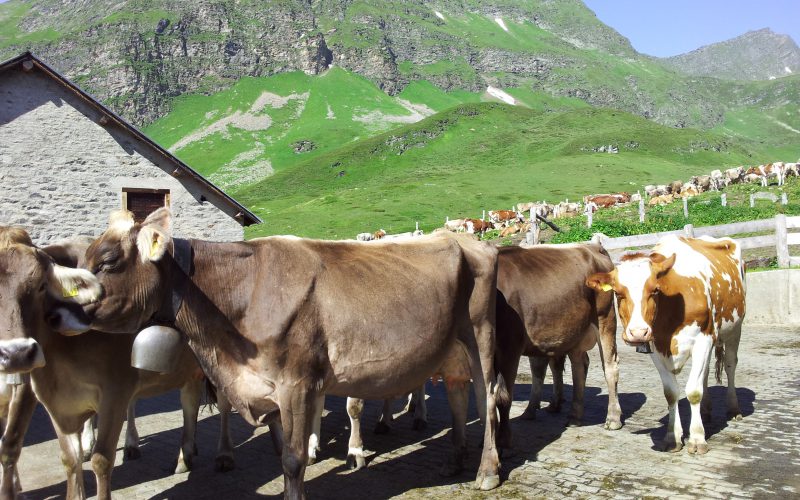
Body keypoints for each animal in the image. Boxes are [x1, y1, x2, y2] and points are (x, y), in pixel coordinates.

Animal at [0, 228, 234, 500]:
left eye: (40, 286)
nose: (16, 354)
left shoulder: (115, 391)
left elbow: (101, 460)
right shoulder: (53, 401)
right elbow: (70, 459)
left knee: (225, 405)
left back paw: (224, 455)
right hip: (188, 369)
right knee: (189, 403)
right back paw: (184, 455)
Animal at [490, 242, 620, 450]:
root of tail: (592, 245)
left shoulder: (510, 347)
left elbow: (502, 397)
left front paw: (503, 442)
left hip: (605, 317)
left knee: (610, 367)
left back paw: (613, 418)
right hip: (574, 329)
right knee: (578, 366)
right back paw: (574, 416)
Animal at [584, 236, 748, 456]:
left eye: (654, 290)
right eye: (617, 293)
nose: (638, 332)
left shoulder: (703, 339)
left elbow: (693, 391)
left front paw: (697, 439)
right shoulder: (656, 347)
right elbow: (671, 393)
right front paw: (672, 438)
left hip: (734, 328)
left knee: (730, 366)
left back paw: (733, 409)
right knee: (704, 374)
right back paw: (705, 411)